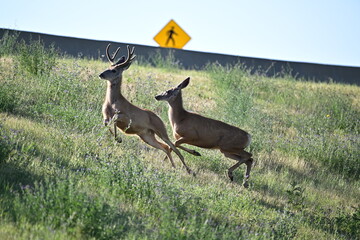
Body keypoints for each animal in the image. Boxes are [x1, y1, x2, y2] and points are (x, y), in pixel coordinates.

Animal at [98, 44, 193, 174]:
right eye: (109, 66)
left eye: (114, 70)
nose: (101, 74)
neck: (112, 103)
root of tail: (160, 118)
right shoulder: (105, 116)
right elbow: (106, 123)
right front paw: (117, 139)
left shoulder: (127, 116)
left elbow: (115, 118)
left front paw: (118, 139)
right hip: (146, 136)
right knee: (165, 147)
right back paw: (174, 167)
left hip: (161, 130)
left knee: (173, 147)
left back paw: (189, 170)